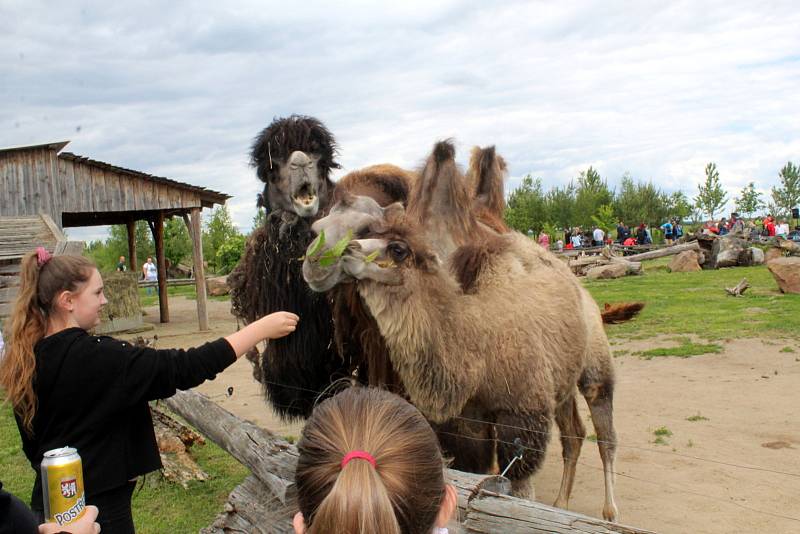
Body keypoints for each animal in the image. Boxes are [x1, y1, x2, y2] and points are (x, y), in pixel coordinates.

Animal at [306, 141, 624, 524]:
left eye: (393, 245)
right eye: (316, 226)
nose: (320, 259)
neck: (474, 343)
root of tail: (581, 290)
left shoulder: (525, 411)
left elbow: (518, 487)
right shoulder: (466, 419)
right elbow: (469, 470)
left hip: (594, 363)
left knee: (605, 432)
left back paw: (610, 512)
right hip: (561, 382)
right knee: (574, 434)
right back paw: (562, 503)